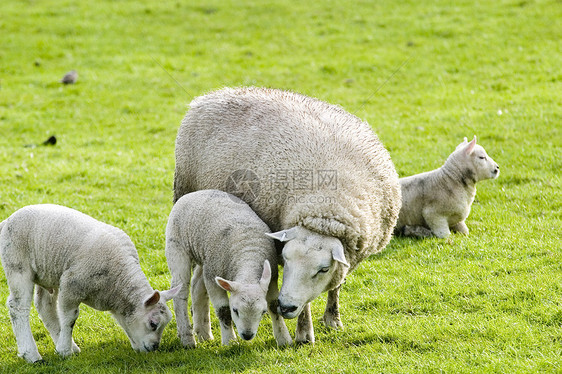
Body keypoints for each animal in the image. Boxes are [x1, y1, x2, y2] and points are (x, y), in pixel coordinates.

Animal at [0, 205, 178, 362]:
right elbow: (70, 318)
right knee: (18, 307)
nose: (154, 347)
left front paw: (64, 348)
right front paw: (64, 351)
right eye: (153, 324)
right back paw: (32, 355)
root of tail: (7, 220)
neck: (118, 282)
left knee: (45, 306)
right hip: (17, 264)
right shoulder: (71, 284)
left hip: (47, 271)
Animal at [164, 190, 290, 348]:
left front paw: (283, 338)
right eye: (235, 310)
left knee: (196, 286)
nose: (247, 335)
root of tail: (195, 193)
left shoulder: (271, 279)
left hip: (203, 256)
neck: (248, 257)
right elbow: (223, 311)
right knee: (180, 291)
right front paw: (230, 341)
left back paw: (204, 334)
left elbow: (274, 306)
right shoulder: (212, 276)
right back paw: (187, 339)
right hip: (177, 246)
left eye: (262, 312)